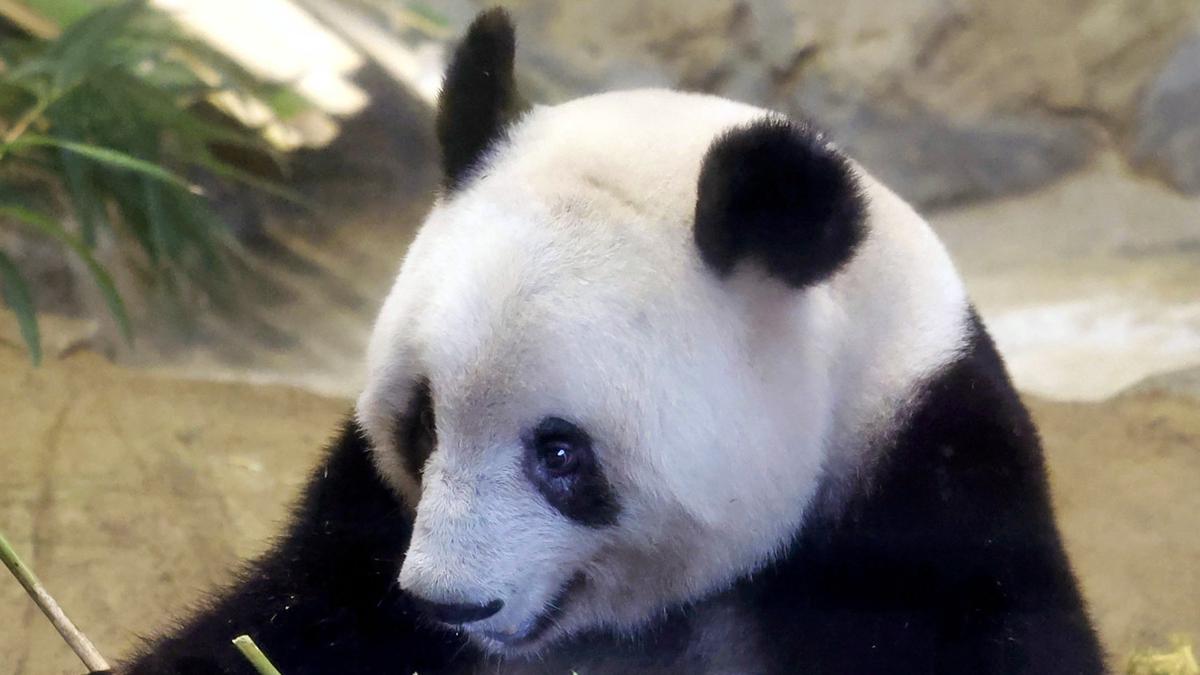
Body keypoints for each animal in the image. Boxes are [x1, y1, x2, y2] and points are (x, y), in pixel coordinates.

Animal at [125, 9, 1105, 675]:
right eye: (423, 423)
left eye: (561, 453)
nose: (448, 601)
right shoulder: (360, 533)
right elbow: (274, 626)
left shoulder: (930, 508)